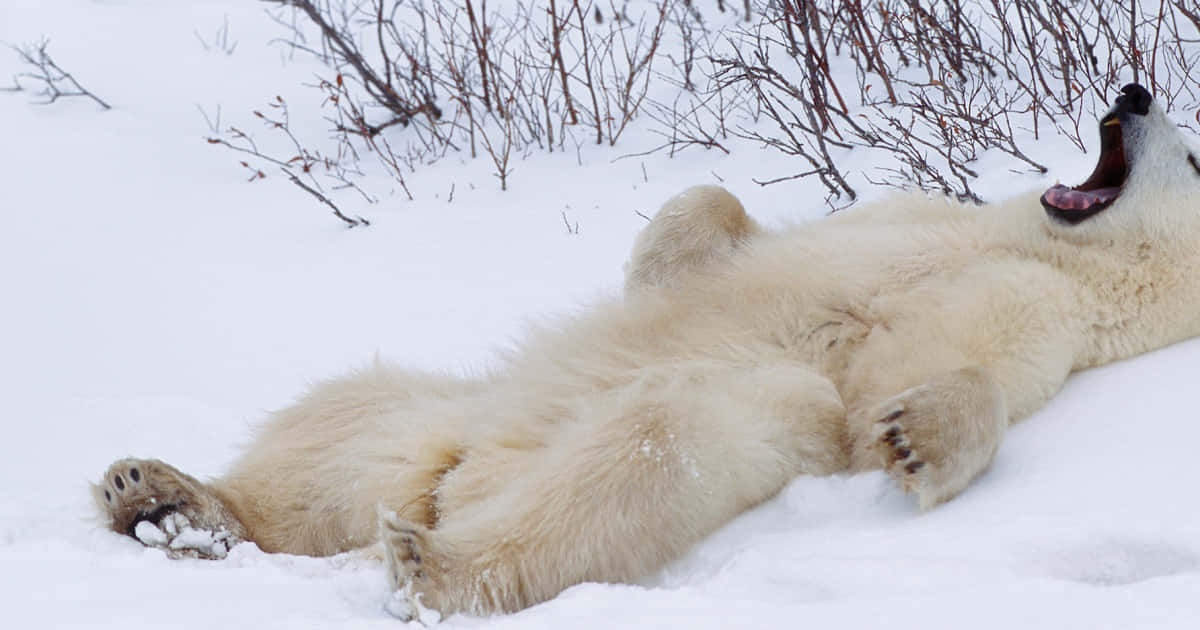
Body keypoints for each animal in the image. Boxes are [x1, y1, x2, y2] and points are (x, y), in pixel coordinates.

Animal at [94, 84, 1200, 620]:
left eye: (1193, 153)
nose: (1136, 89)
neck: (1049, 241)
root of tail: (459, 480)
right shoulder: (914, 214)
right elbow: (716, 227)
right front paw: (668, 248)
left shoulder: (1046, 306)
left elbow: (919, 380)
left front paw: (915, 435)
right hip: (435, 415)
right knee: (338, 427)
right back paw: (166, 500)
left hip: (667, 430)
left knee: (650, 448)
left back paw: (431, 563)